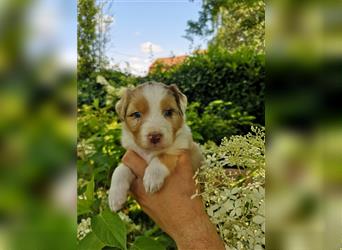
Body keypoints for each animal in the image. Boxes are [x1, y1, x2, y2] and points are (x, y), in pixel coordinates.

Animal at [108, 81, 202, 211]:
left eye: (168, 112)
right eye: (136, 114)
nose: (155, 136)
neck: (149, 152)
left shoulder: (181, 146)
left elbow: (163, 156)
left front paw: (152, 178)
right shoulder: (132, 153)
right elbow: (120, 169)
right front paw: (115, 197)